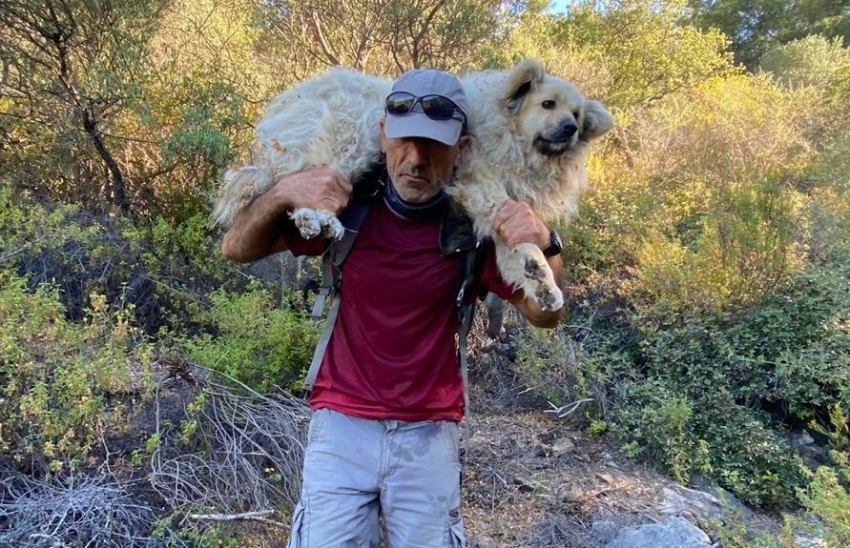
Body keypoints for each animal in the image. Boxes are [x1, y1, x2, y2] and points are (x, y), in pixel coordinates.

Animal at [211, 60, 608, 312]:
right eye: (547, 104)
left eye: (576, 115)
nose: (571, 129)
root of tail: (289, 103)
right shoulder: (479, 183)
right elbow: (516, 233)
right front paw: (537, 269)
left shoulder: (497, 212)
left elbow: (515, 248)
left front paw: (541, 284)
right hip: (346, 143)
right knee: (300, 187)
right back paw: (315, 219)